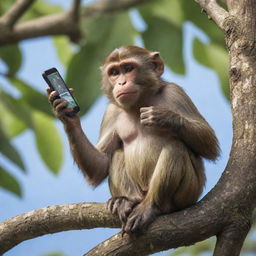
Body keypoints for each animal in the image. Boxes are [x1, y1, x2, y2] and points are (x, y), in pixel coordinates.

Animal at [47, 45, 219, 234]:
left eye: (129, 68)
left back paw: (153, 206)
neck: (139, 103)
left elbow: (210, 146)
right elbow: (100, 165)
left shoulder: (175, 93)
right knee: (117, 153)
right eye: (114, 72)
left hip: (190, 192)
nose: (121, 83)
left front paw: (165, 117)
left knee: (176, 147)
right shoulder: (111, 111)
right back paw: (127, 201)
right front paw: (66, 114)